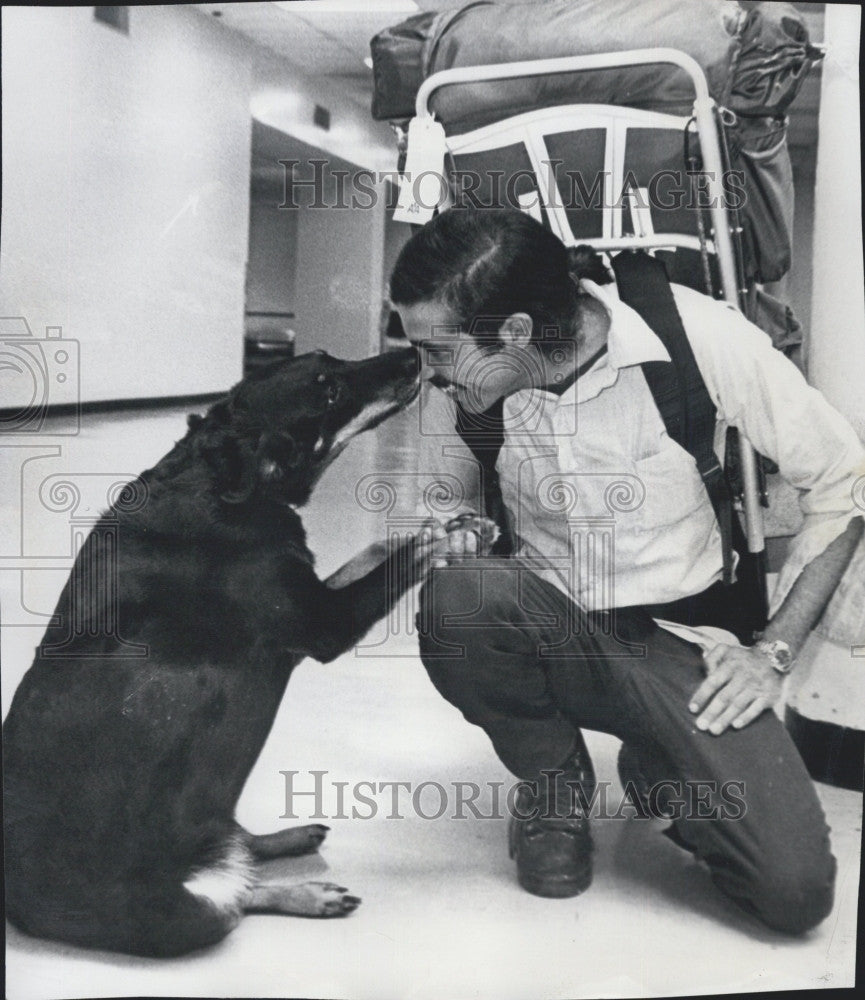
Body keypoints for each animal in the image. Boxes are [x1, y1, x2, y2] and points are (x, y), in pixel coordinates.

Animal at [3, 348, 496, 956]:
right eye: (329, 390)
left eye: (331, 361)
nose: (414, 353)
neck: (223, 485)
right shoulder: (325, 624)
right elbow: (396, 563)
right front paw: (446, 539)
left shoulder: (312, 596)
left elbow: (379, 548)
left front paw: (450, 524)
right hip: (185, 913)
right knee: (239, 897)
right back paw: (306, 891)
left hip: (214, 820)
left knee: (242, 854)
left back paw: (287, 842)